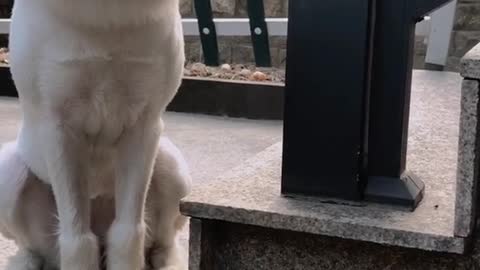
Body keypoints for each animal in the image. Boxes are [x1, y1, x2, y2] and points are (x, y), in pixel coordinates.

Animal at [0, 0, 190, 268]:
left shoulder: (143, 125)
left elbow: (128, 232)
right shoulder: (59, 128)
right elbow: (77, 240)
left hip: (174, 168)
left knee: (163, 243)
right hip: (8, 173)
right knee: (30, 249)